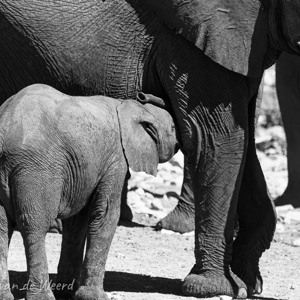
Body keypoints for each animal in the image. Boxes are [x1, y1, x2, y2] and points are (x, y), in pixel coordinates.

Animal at [0, 84, 177, 300]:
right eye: (173, 128)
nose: (178, 144)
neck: (130, 106)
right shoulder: (116, 159)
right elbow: (106, 215)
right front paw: (94, 296)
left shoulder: (81, 172)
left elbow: (77, 221)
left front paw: (67, 291)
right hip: (35, 169)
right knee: (34, 226)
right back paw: (43, 297)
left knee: (2, 228)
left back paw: (4, 296)